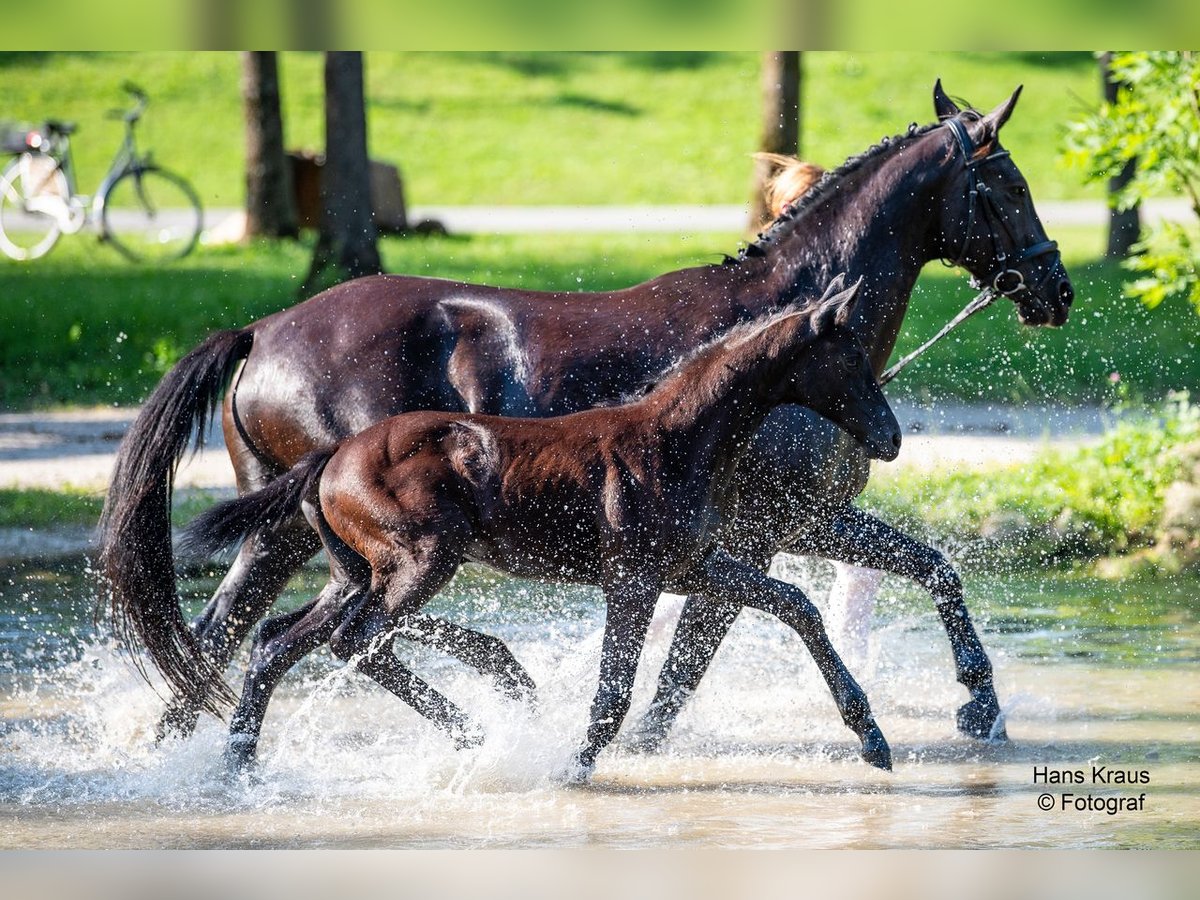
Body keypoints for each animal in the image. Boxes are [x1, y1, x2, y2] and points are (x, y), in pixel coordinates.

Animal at [182, 278, 902, 777]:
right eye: (849, 360)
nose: (892, 439)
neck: (677, 438)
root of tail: (328, 458)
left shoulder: (691, 566)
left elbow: (795, 603)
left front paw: (872, 738)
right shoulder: (632, 580)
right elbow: (613, 690)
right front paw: (572, 768)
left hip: (353, 574)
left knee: (277, 642)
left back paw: (241, 765)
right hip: (419, 564)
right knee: (351, 641)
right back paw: (477, 735)